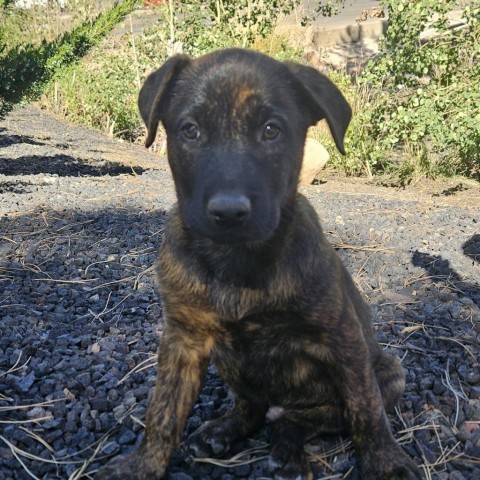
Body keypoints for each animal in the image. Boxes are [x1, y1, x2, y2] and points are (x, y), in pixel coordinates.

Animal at [97, 47, 420, 478]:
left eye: (271, 130)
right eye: (190, 130)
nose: (229, 212)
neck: (236, 259)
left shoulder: (343, 336)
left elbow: (364, 408)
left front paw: (385, 461)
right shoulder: (183, 338)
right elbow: (163, 411)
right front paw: (142, 464)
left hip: (388, 370)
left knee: (315, 416)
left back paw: (286, 450)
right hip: (229, 363)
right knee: (253, 406)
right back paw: (224, 430)